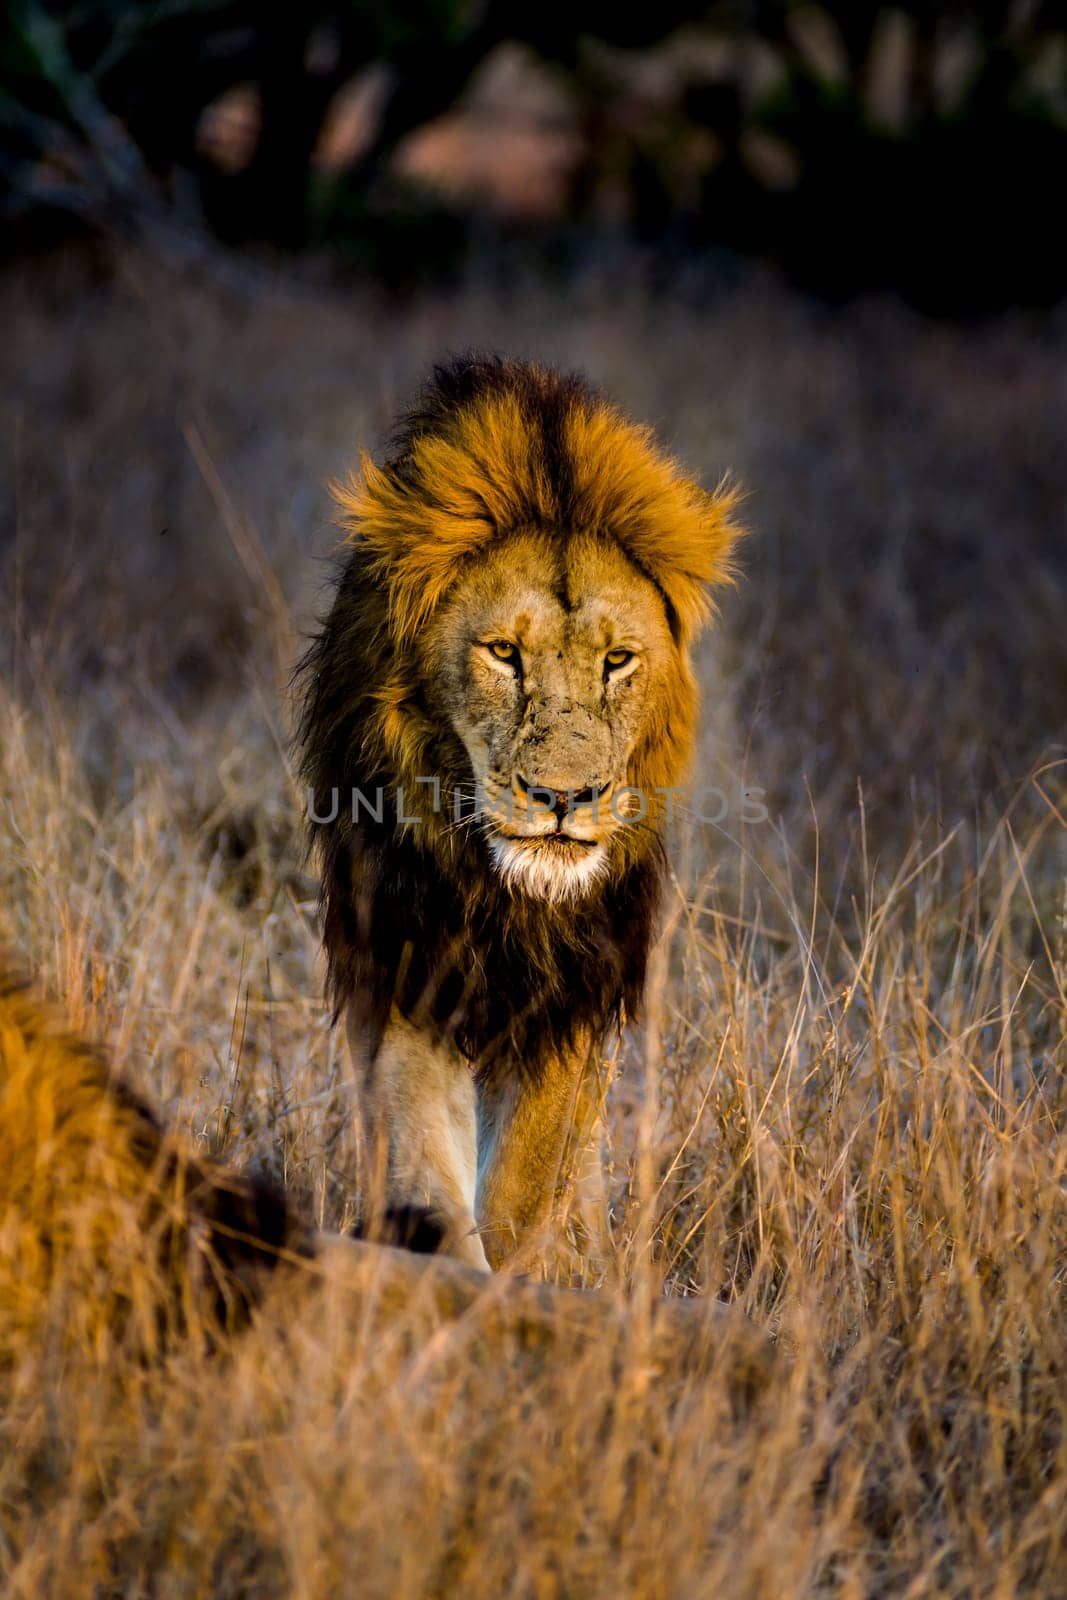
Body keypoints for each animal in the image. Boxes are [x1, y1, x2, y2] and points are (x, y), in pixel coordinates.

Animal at [295, 353, 739, 1273]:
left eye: (617, 661)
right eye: (503, 653)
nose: (563, 799)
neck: (505, 894)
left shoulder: (572, 994)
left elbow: (527, 1185)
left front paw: (528, 1277)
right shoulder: (404, 963)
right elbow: (422, 1157)